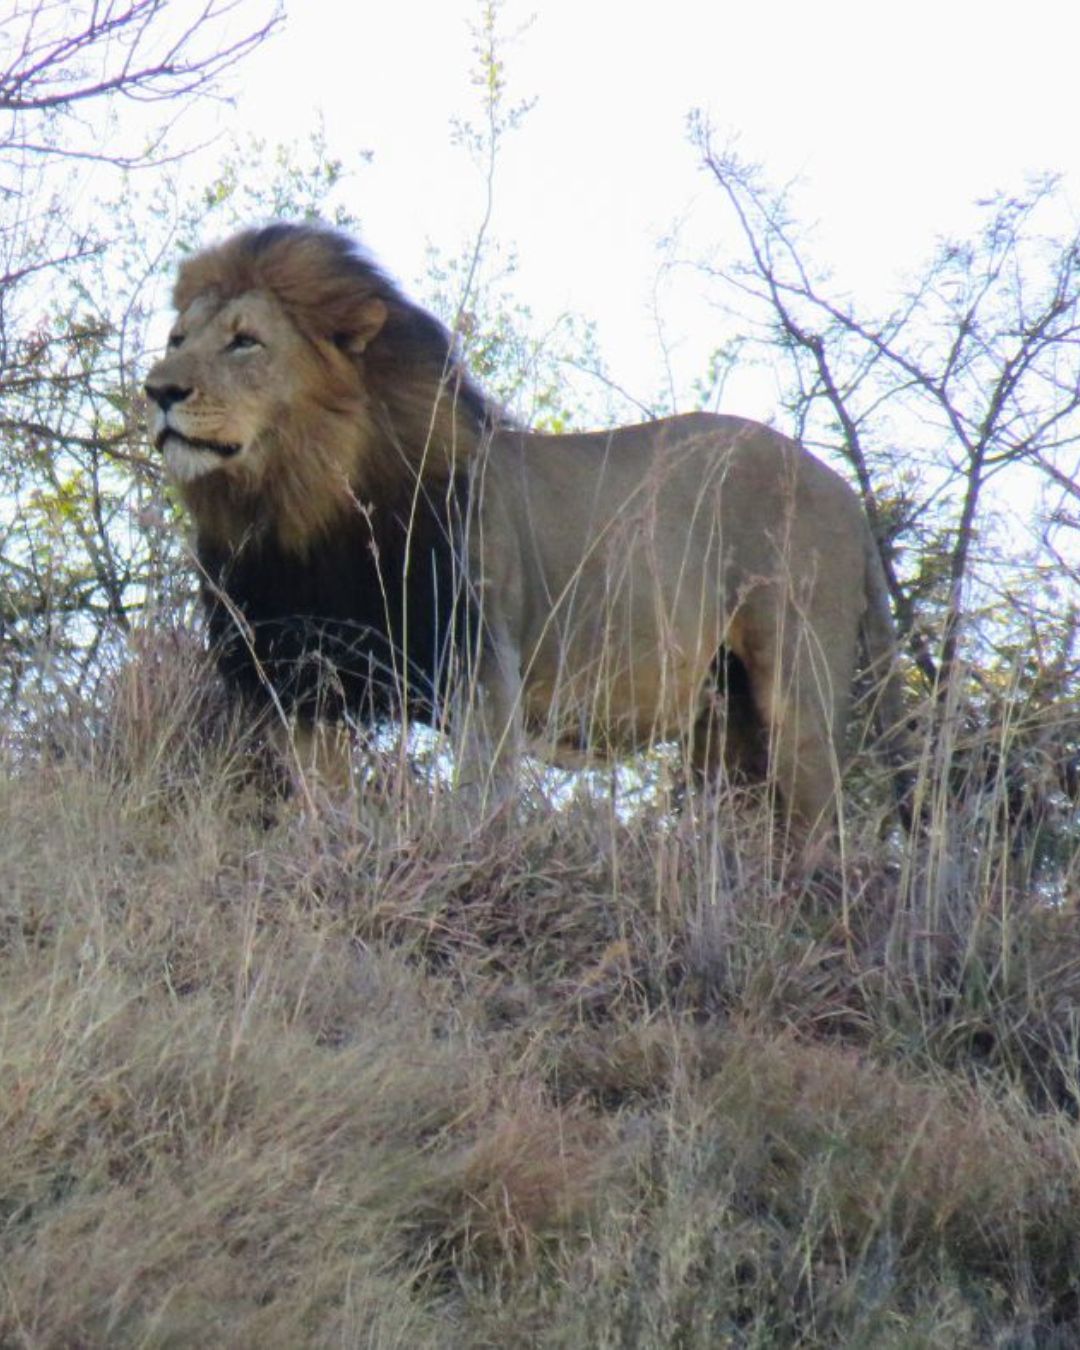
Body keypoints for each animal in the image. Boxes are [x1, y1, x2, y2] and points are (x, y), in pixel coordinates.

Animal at [144, 221, 906, 836]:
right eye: (177, 339)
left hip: (795, 689)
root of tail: (842, 491)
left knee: (825, 831)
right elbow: (320, 803)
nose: (158, 390)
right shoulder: (301, 688)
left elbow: (478, 797)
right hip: (724, 717)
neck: (294, 513)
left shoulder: (481, 668)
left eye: (245, 343)